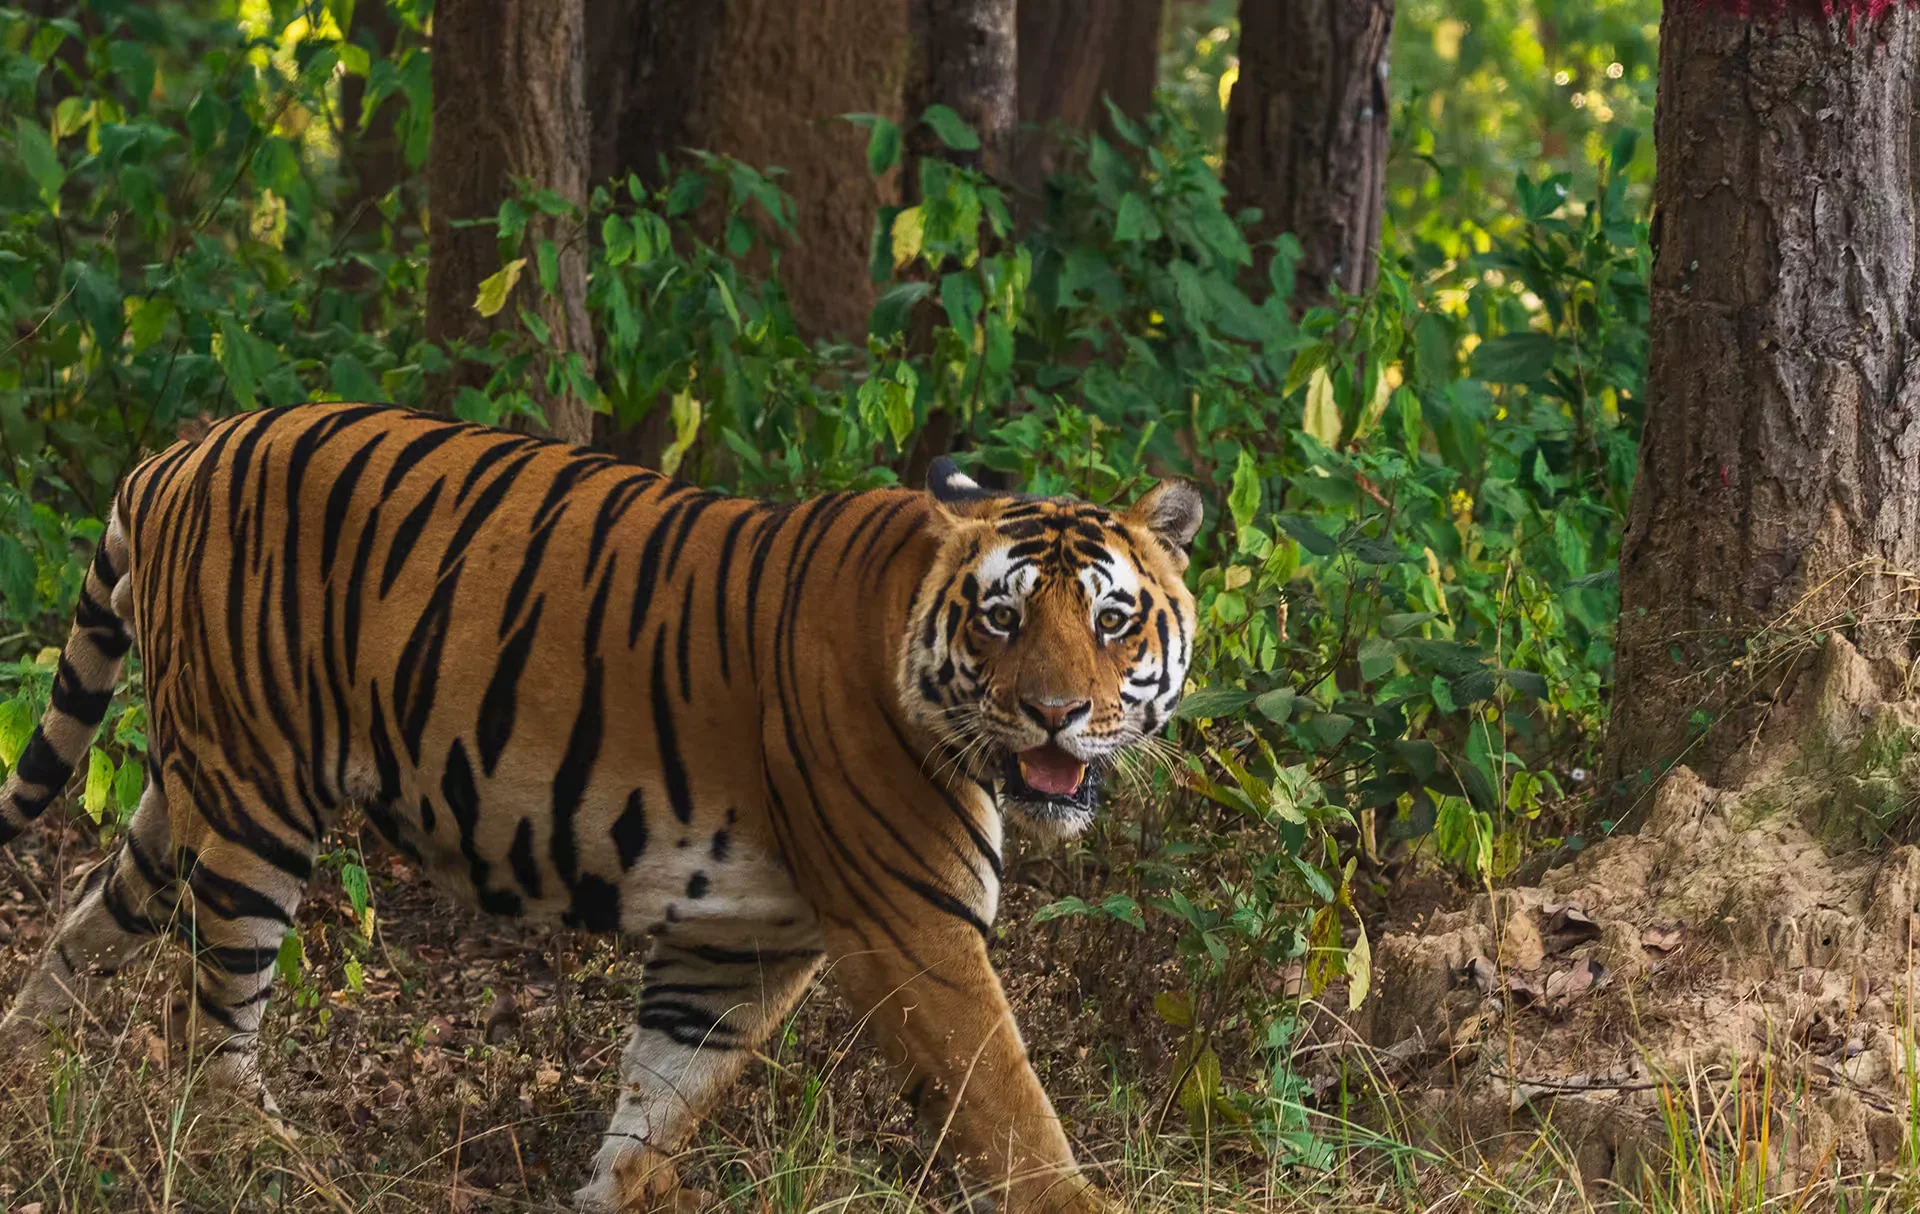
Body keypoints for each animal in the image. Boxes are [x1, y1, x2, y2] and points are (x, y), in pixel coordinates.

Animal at [0, 402, 1202, 1213]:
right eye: (1002, 618)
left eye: (1110, 621)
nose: (1054, 714)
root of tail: (177, 454)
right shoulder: (915, 930)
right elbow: (1009, 1109)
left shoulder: (742, 938)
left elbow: (663, 1086)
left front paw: (615, 1191)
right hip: (256, 805)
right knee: (210, 1024)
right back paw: (261, 1160)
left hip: (189, 789)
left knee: (87, 914)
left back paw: (23, 1065)